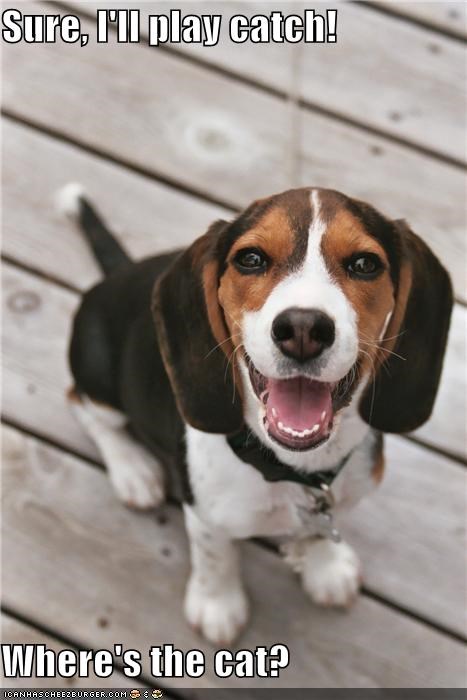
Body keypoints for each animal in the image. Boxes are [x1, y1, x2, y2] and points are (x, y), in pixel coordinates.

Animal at [60, 184, 452, 644]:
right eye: (251, 259)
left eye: (365, 264)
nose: (303, 329)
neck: (295, 470)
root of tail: (121, 272)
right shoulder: (205, 514)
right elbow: (216, 556)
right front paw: (218, 606)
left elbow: (323, 528)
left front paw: (327, 567)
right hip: (97, 373)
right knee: (82, 405)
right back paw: (133, 471)